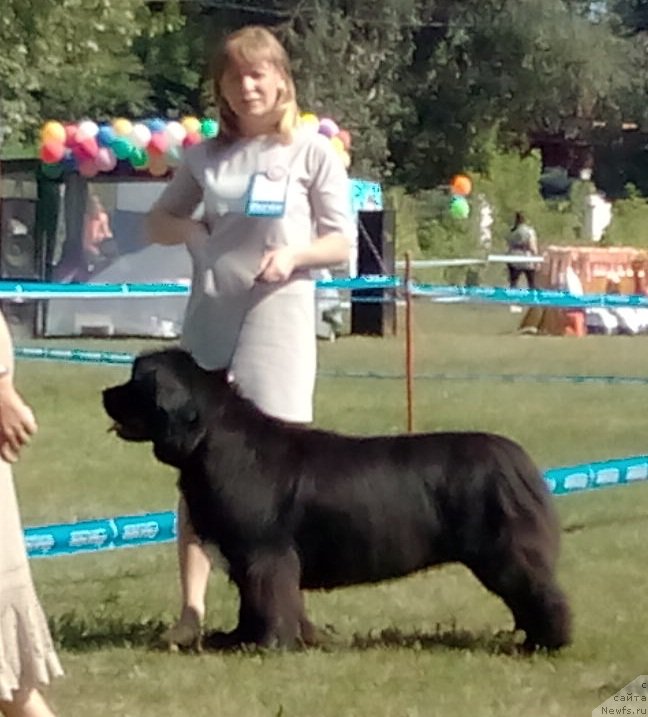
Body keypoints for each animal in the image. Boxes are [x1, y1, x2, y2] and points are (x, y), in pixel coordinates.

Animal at [102, 350, 572, 652]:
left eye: (135, 381)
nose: (105, 393)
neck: (212, 440)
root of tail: (516, 457)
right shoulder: (249, 556)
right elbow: (254, 602)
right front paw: (239, 639)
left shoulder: (263, 551)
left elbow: (267, 598)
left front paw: (265, 646)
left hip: (504, 552)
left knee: (540, 592)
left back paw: (546, 644)